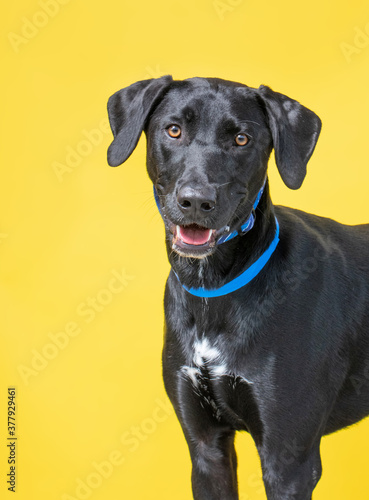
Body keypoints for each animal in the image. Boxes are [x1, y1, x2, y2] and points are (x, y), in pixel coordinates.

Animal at [105, 75, 368, 500]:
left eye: (242, 139)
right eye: (174, 130)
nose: (196, 201)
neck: (215, 289)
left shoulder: (288, 462)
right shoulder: (206, 448)